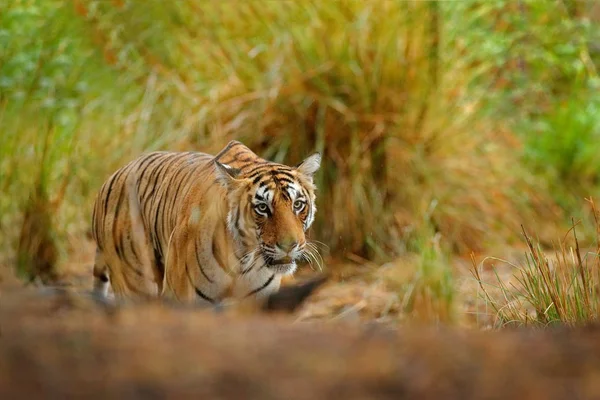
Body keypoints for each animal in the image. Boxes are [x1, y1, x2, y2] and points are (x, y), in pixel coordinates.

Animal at [89, 141, 322, 306]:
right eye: (262, 208)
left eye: (298, 205)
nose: (290, 246)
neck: (244, 260)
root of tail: (109, 180)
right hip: (136, 283)